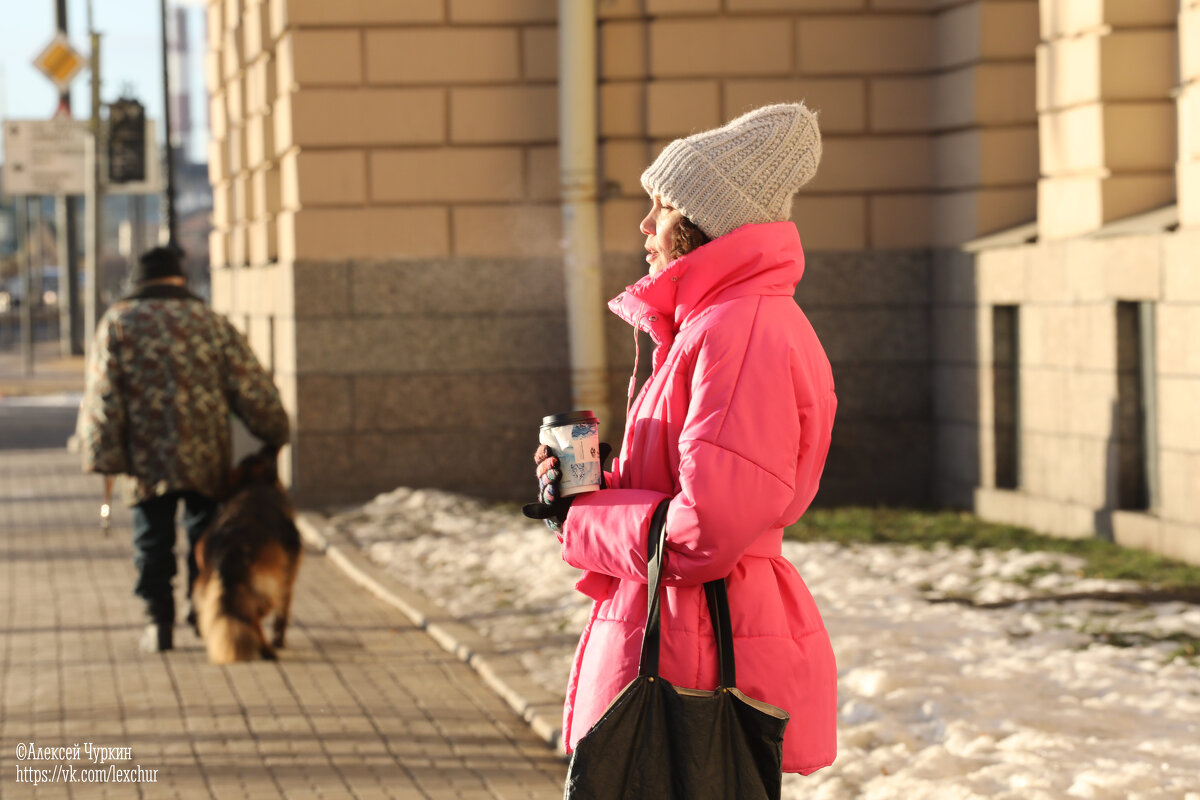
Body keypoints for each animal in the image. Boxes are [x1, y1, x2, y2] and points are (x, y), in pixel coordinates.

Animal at [192, 443, 302, 662]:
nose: (270, 446)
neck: (253, 485)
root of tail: (230, 546)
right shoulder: (288, 577)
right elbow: (283, 613)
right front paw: (279, 640)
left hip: (204, 588)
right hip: (267, 589)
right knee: (254, 617)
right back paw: (267, 650)